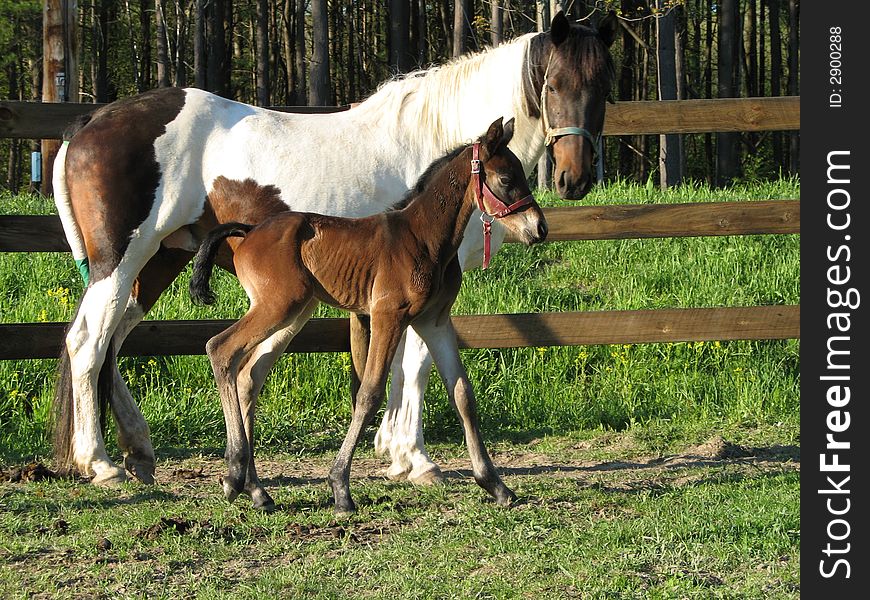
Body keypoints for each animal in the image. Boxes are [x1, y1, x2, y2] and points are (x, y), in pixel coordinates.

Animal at [191, 118, 548, 516]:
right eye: (505, 178)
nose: (540, 228)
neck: (425, 239)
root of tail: (250, 231)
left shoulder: (434, 321)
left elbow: (462, 394)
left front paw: (496, 485)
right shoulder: (387, 316)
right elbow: (369, 392)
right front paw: (340, 487)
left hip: (294, 313)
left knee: (248, 376)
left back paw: (257, 490)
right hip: (278, 305)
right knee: (220, 348)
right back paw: (234, 474)